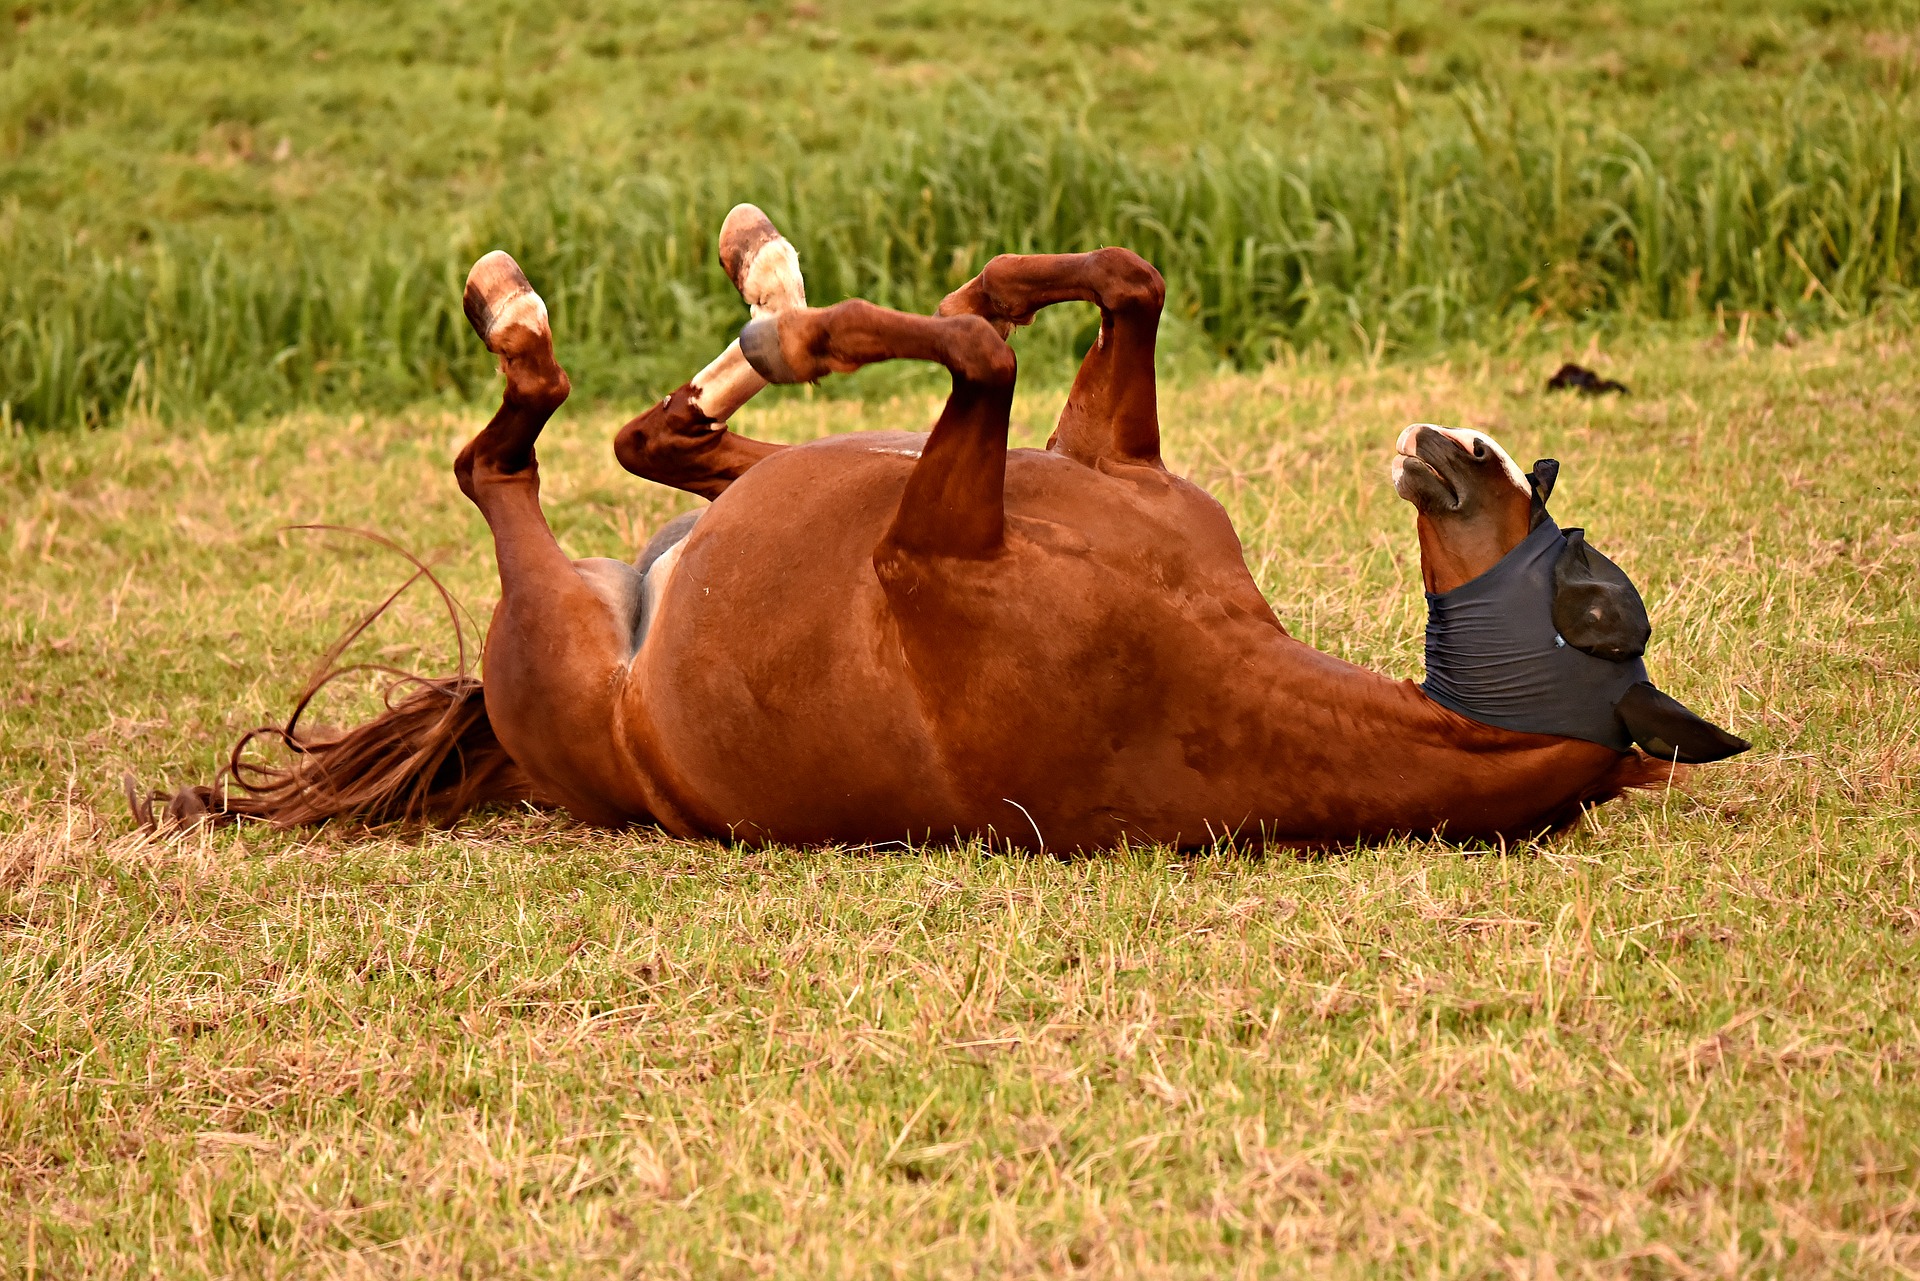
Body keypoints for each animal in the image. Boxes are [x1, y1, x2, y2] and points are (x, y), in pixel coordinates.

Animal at [157, 208, 1751, 852]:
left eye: (1594, 599)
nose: (1461, 448)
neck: (1200, 667)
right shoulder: (1093, 458)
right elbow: (1105, 283)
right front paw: (952, 291)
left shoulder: (924, 537)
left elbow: (979, 354)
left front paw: (813, 329)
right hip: (736, 498)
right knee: (655, 439)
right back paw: (755, 271)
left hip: (549, 622)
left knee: (508, 455)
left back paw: (559, 313)